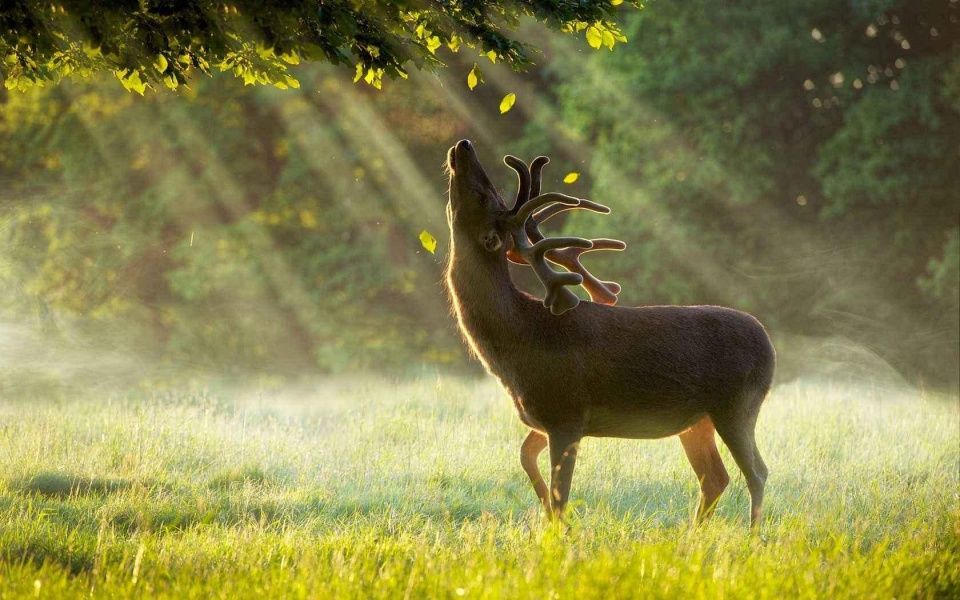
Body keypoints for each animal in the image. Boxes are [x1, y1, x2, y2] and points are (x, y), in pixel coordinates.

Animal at [446, 139, 776, 524]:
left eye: (484, 196)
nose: (464, 145)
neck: (519, 342)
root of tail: (769, 346)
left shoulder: (567, 412)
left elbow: (561, 495)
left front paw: (558, 529)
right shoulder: (544, 418)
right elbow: (526, 458)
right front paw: (544, 514)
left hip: (738, 405)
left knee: (756, 472)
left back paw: (752, 533)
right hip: (697, 420)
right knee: (715, 477)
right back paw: (693, 532)